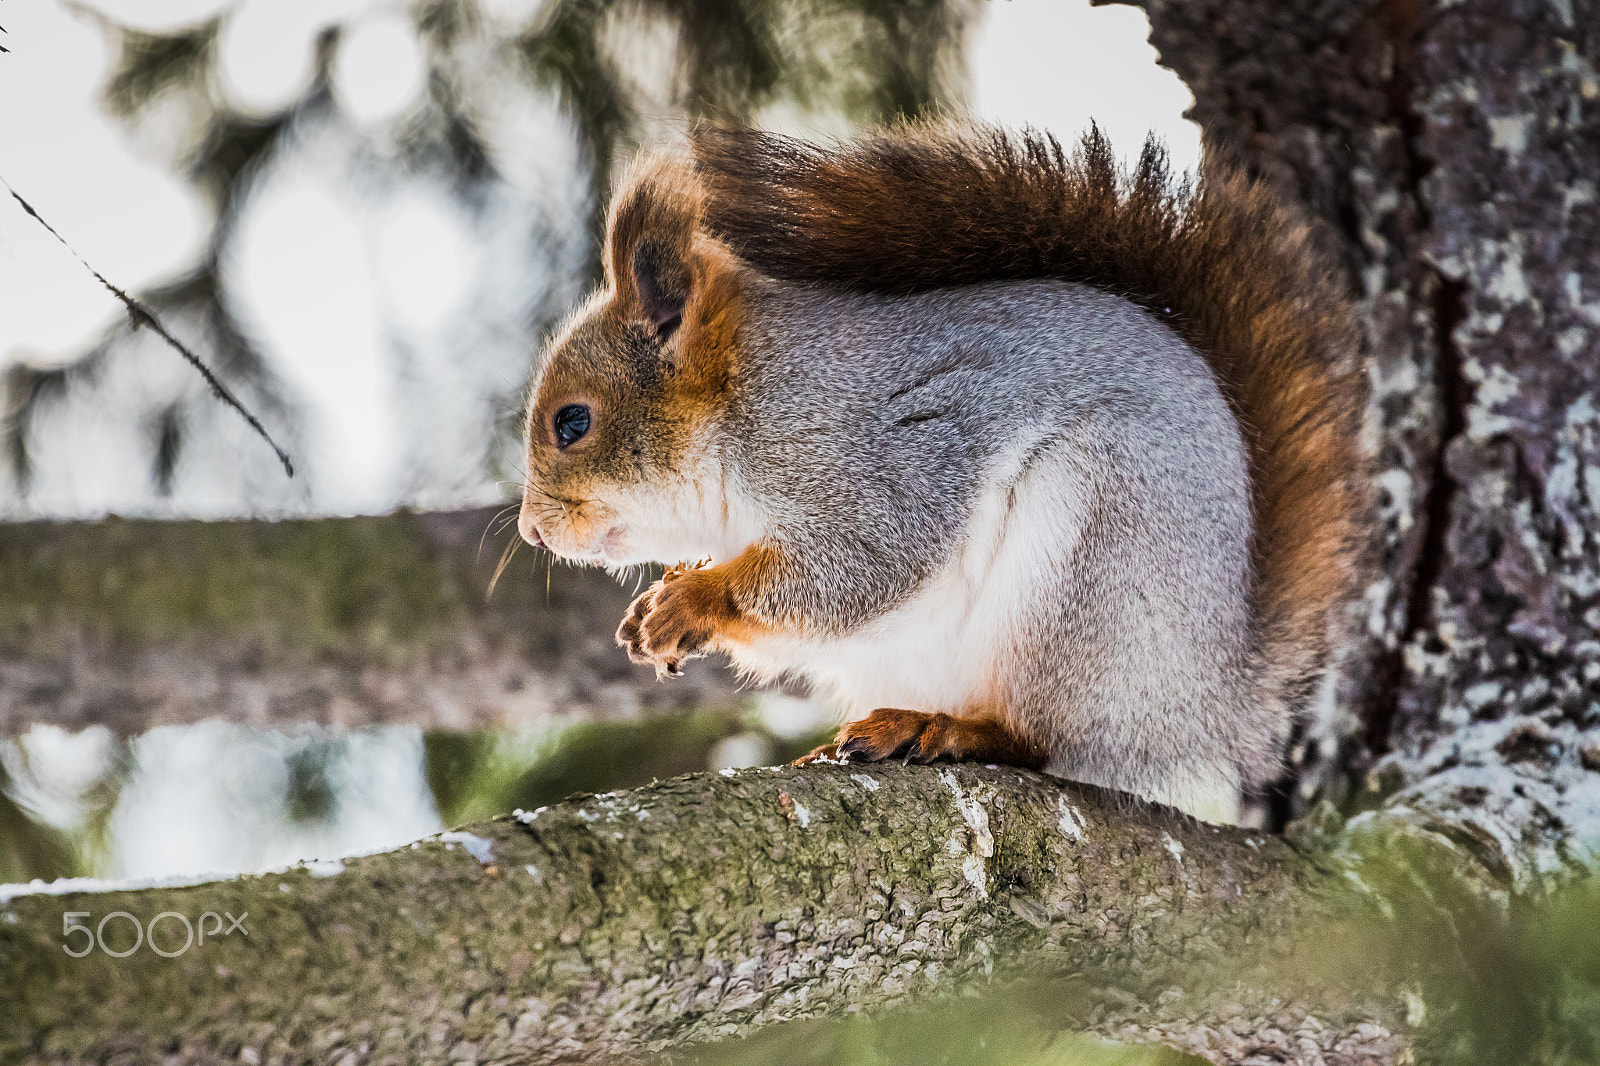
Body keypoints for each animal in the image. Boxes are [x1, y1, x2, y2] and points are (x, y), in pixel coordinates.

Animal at [516, 124, 1366, 824]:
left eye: (573, 422)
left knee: (1040, 742)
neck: (746, 403)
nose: (531, 532)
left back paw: (950, 730)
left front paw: (691, 600)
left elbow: (860, 566)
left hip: (1088, 568)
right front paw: (657, 606)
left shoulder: (883, 461)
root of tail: (1219, 704)